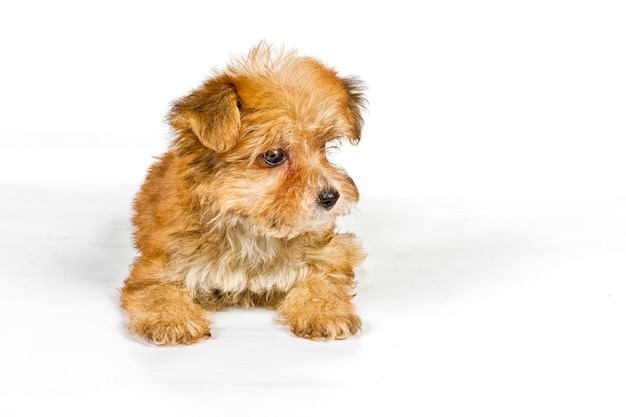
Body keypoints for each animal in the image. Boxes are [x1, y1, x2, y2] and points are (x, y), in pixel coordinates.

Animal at [119, 41, 366, 344]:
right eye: (273, 155)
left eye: (324, 147)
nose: (331, 197)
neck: (248, 230)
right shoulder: (157, 267)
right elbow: (156, 291)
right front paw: (171, 318)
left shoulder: (326, 256)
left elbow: (323, 280)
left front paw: (324, 311)